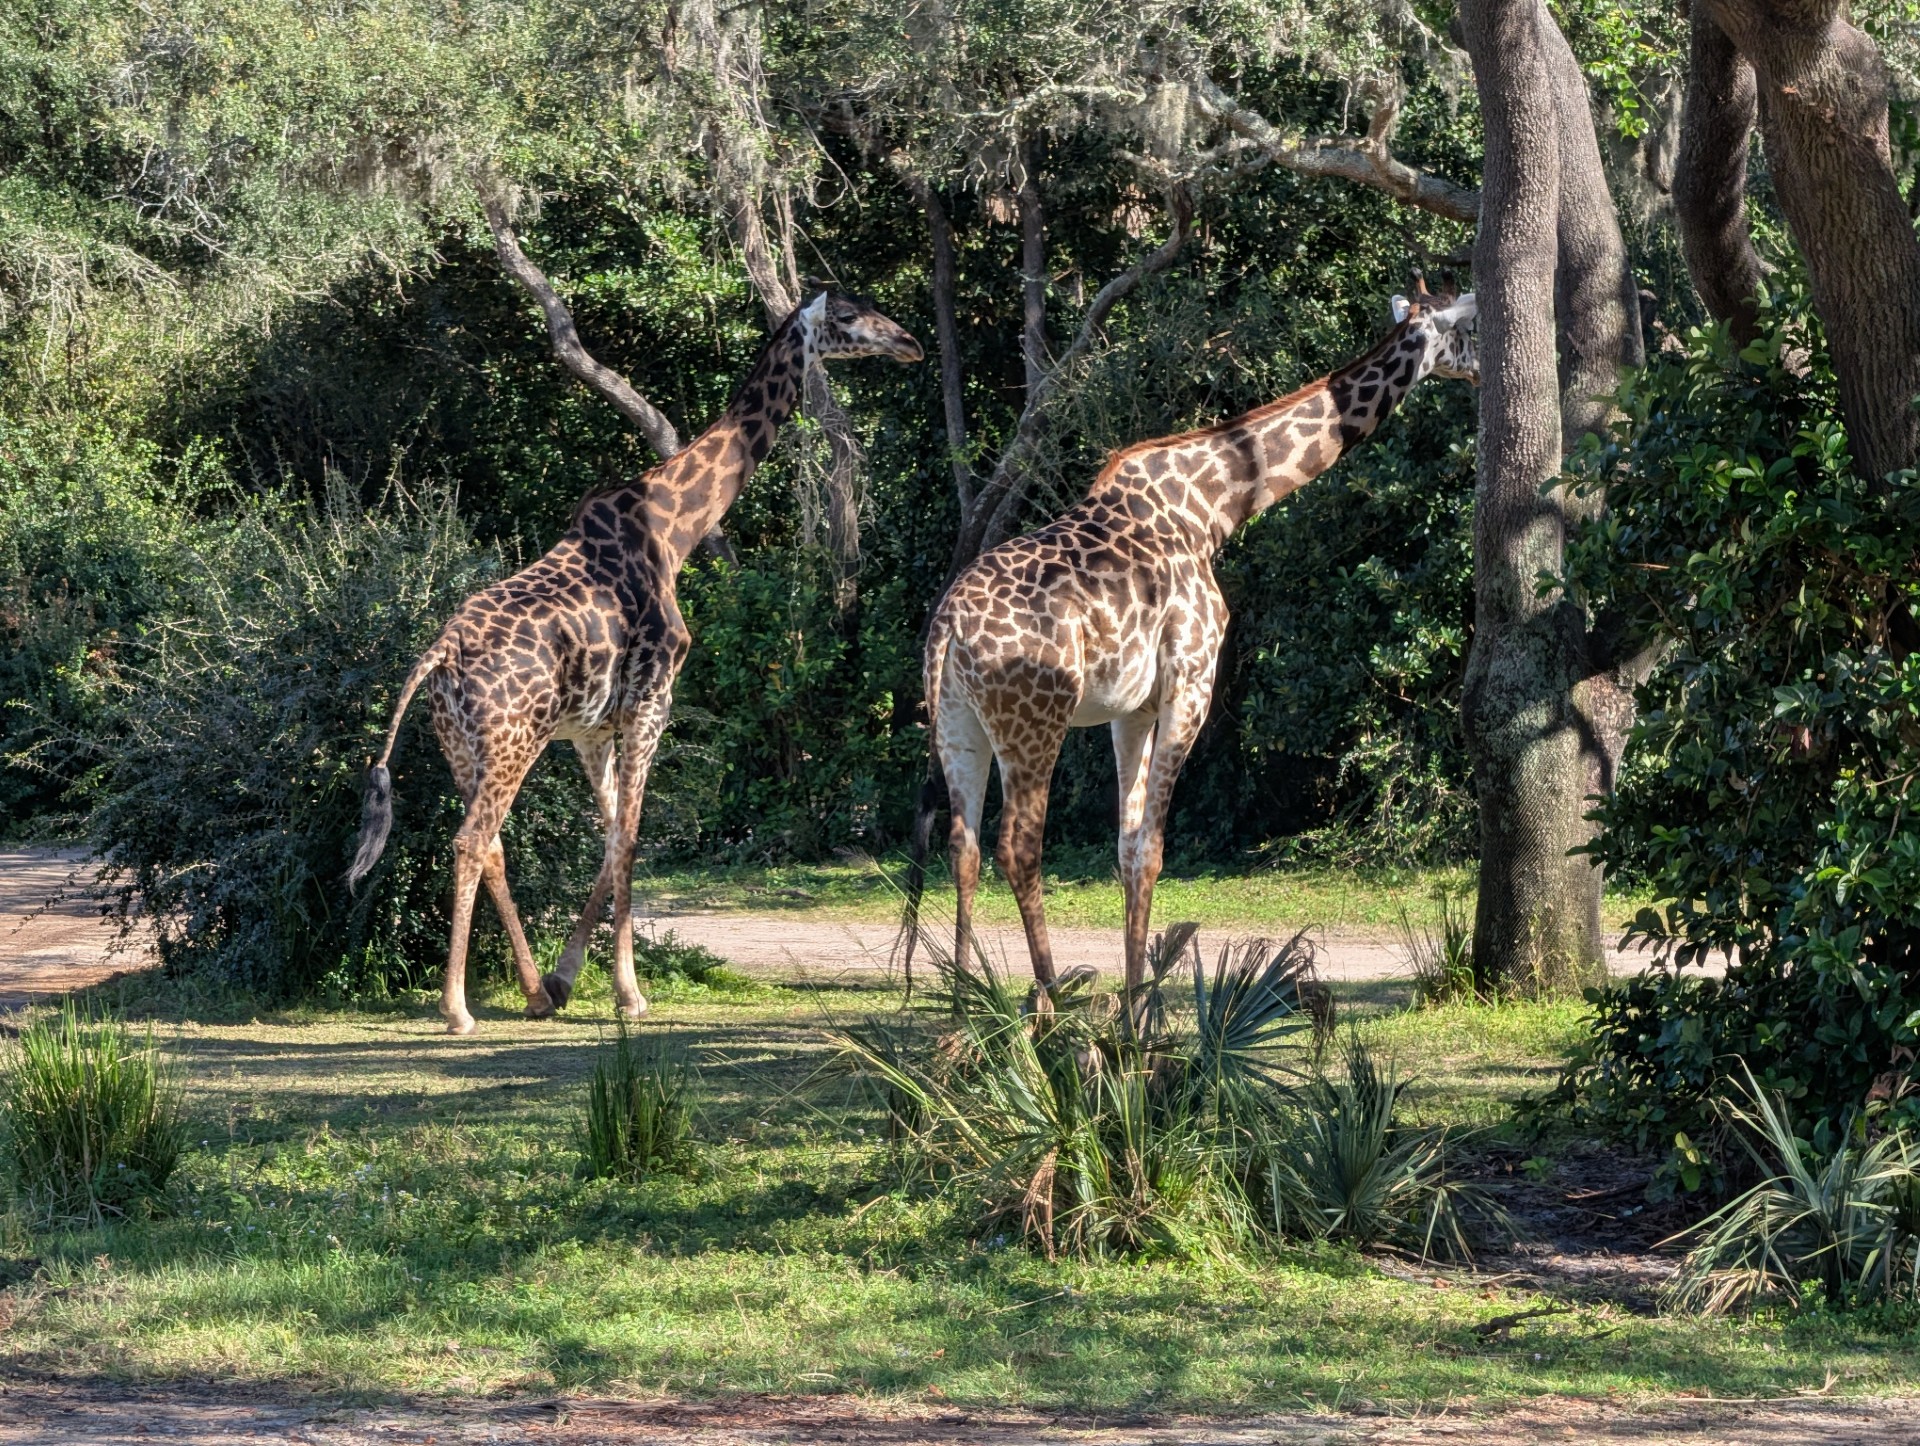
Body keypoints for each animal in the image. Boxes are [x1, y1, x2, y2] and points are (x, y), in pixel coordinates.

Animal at [348, 292, 923, 1033]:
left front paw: (563, 981)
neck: (674, 528)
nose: (908, 342)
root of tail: (439, 655)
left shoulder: (593, 727)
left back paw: (532, 993)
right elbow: (630, 836)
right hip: (512, 740)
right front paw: (629, 992)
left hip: (461, 744)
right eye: (850, 316)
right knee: (472, 840)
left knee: (494, 843)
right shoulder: (652, 700)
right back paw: (457, 1009)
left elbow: (612, 833)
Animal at [904, 284, 1477, 1002]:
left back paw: (963, 1004)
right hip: (1036, 718)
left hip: (959, 723)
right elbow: (1153, 850)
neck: (1214, 506)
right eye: (1468, 328)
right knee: (1020, 844)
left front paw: (1133, 1002)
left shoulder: (1130, 707)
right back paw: (1050, 1001)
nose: (1481, 369)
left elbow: (1127, 850)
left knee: (965, 844)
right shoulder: (1191, 681)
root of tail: (947, 630)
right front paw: (1137, 1008)